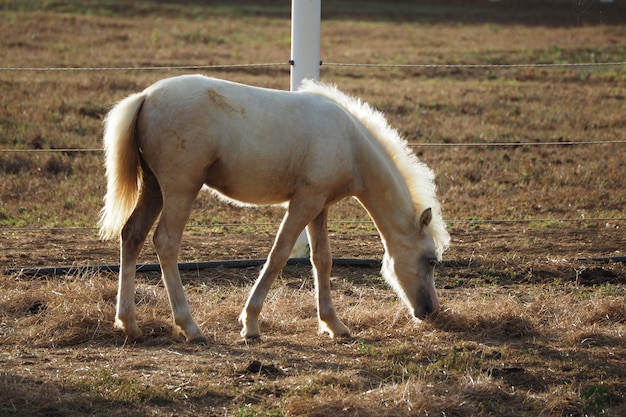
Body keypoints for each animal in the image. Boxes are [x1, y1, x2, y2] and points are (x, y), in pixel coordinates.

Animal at [97, 74, 448, 342]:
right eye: (430, 260)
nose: (431, 310)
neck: (350, 143)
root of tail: (146, 96)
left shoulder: (319, 206)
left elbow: (322, 260)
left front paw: (333, 324)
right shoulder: (303, 203)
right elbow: (278, 255)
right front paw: (250, 324)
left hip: (154, 188)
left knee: (132, 235)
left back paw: (129, 324)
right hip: (180, 189)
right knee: (165, 243)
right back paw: (190, 327)